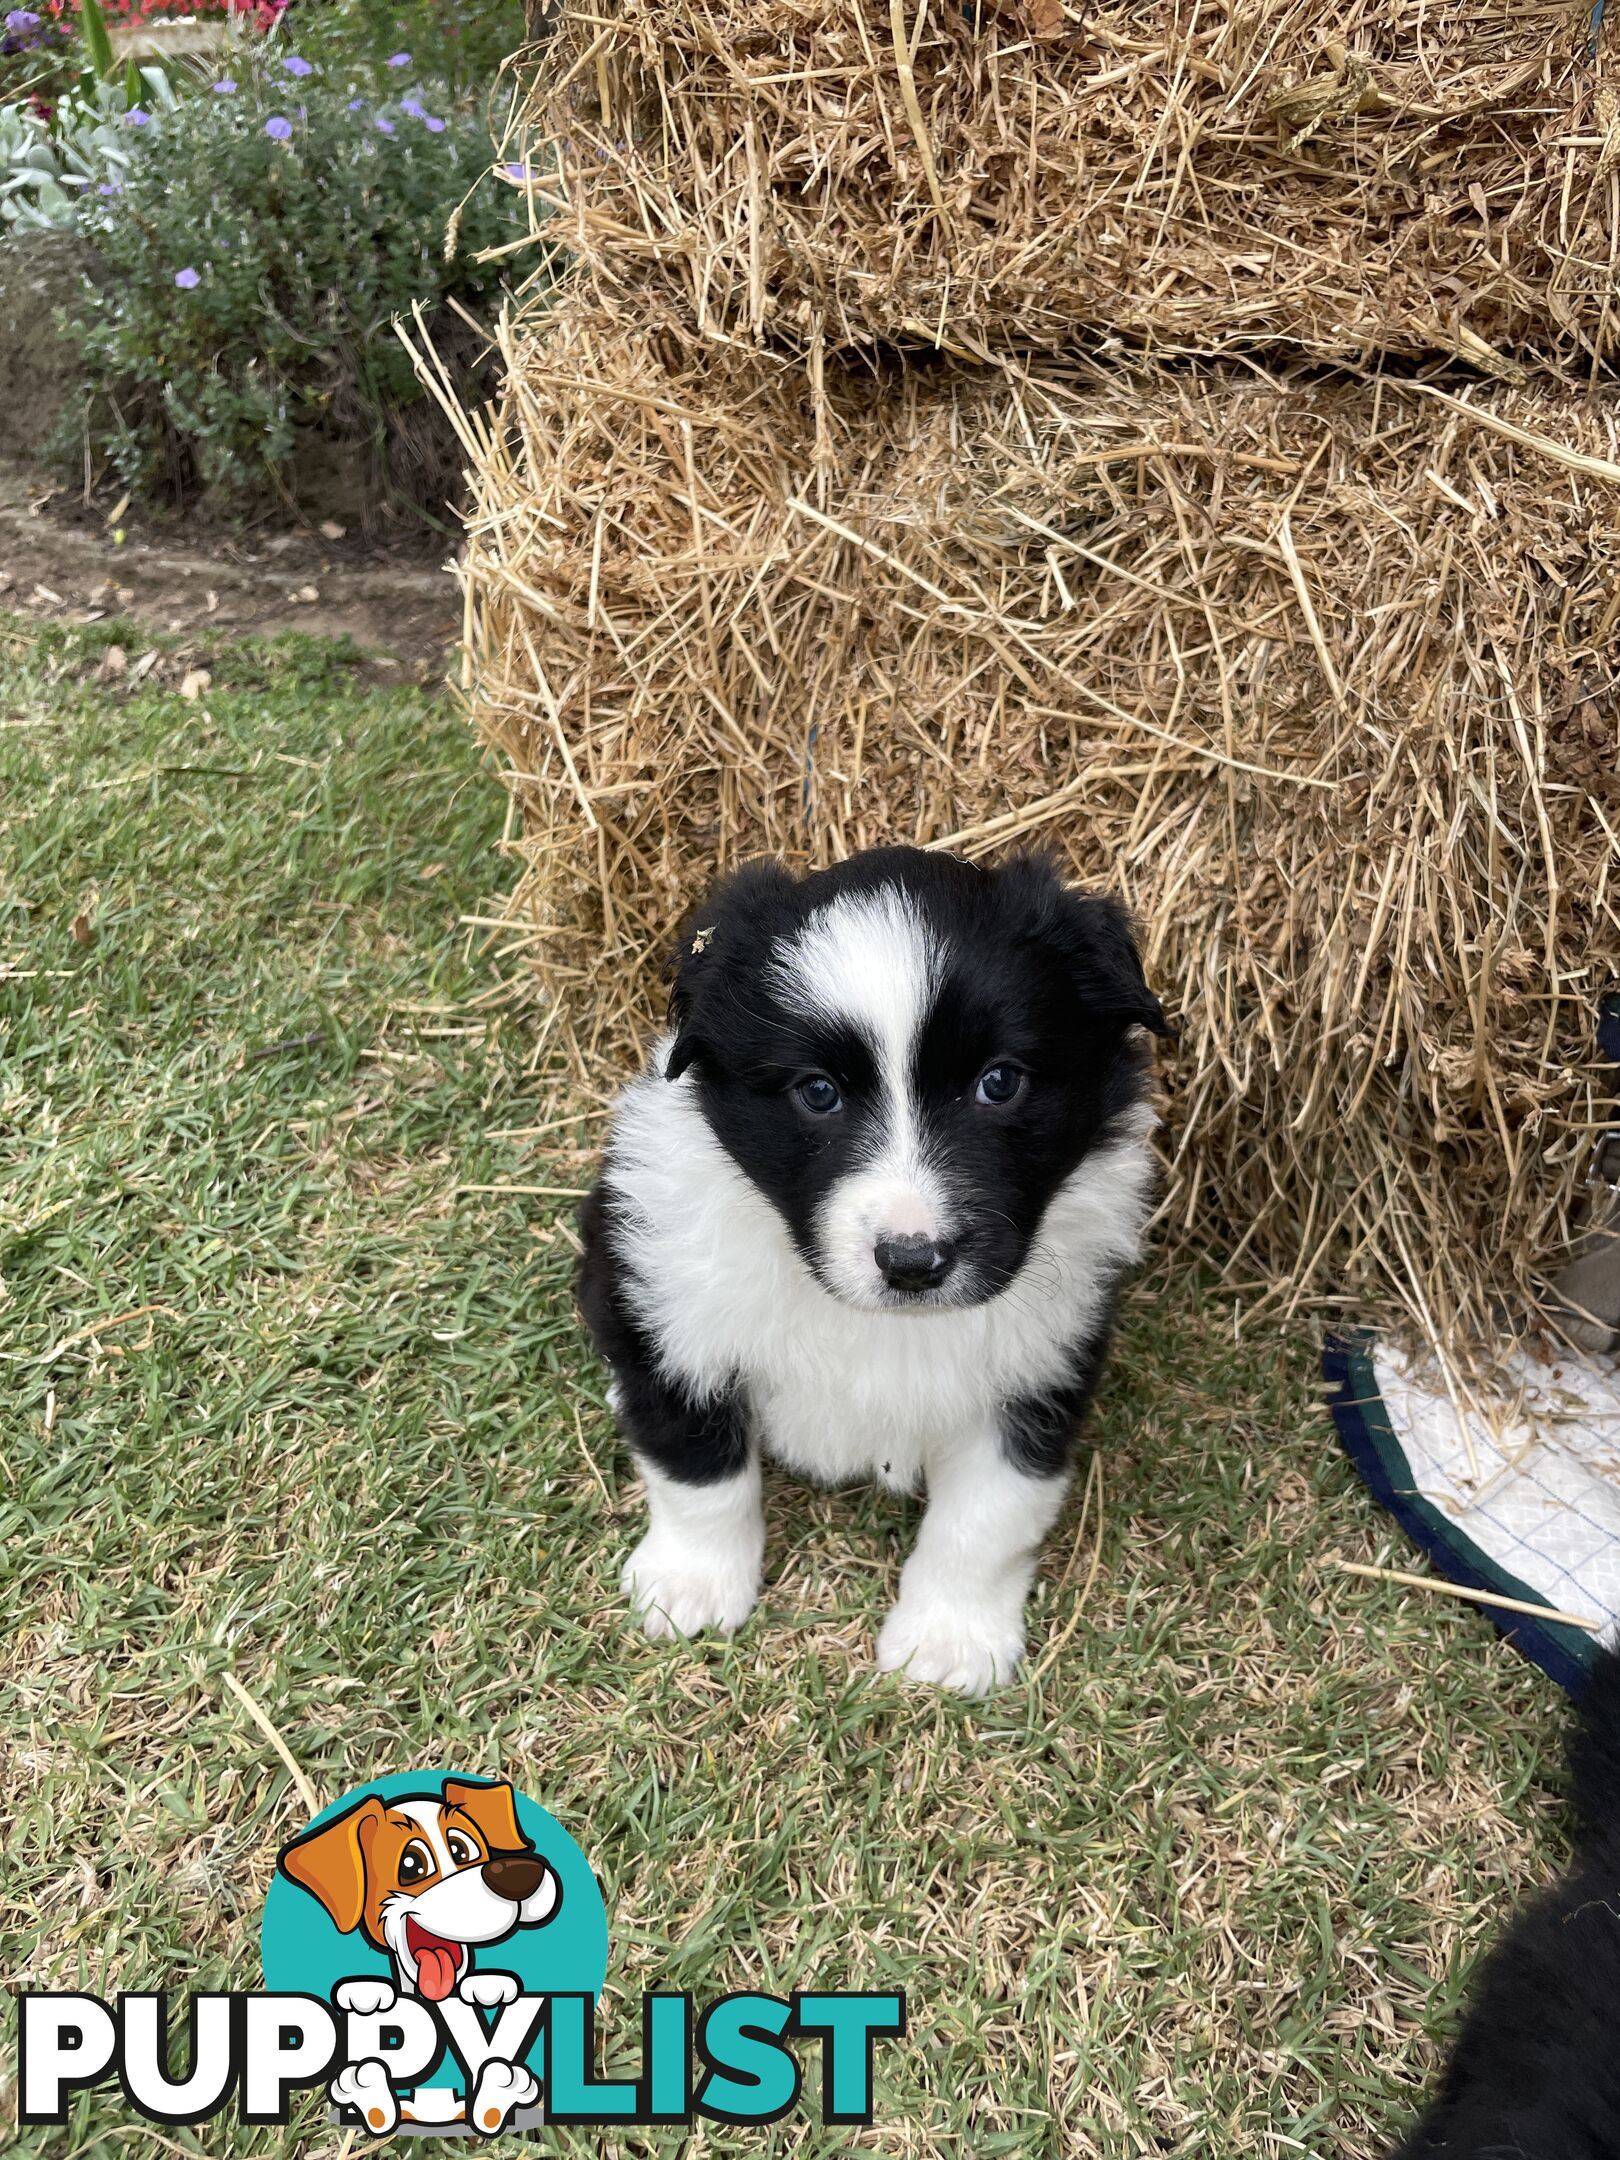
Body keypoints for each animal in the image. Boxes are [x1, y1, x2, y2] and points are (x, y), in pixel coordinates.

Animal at [578, 842, 1175, 1684]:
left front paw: (950, 1639)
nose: (913, 1261)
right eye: (817, 1093)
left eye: (1000, 1082)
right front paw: (691, 1584)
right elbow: (698, 1467)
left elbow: (988, 1515)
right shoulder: (672, 1312)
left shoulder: (1042, 1369)